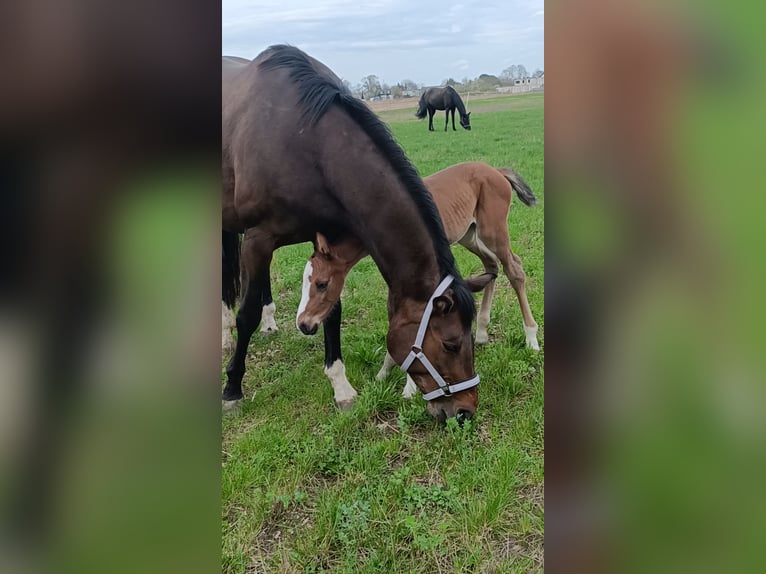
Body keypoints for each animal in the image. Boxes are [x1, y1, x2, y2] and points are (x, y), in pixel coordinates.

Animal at [220, 46, 492, 424]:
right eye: (451, 344)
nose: (465, 411)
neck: (304, 141)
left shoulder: (323, 241)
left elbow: (331, 308)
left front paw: (341, 387)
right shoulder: (259, 238)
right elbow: (246, 314)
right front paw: (232, 388)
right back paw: (224, 333)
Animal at [296, 160, 544, 398]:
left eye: (321, 283)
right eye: (304, 282)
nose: (304, 324)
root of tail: (496, 170)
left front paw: (409, 387)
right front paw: (383, 374)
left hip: (493, 230)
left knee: (514, 269)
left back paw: (531, 338)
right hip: (469, 235)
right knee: (491, 265)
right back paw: (482, 331)